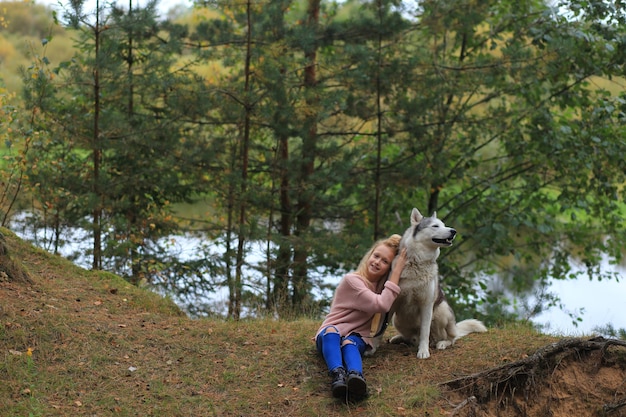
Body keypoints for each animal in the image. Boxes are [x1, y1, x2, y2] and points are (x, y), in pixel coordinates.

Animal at [368, 208, 486, 358]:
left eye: (444, 225)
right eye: (435, 226)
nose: (453, 231)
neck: (416, 262)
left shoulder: (426, 304)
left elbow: (425, 331)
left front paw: (423, 351)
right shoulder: (390, 304)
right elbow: (380, 329)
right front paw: (372, 348)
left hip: (441, 312)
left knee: (450, 338)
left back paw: (441, 343)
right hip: (398, 320)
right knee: (411, 338)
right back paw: (400, 339)